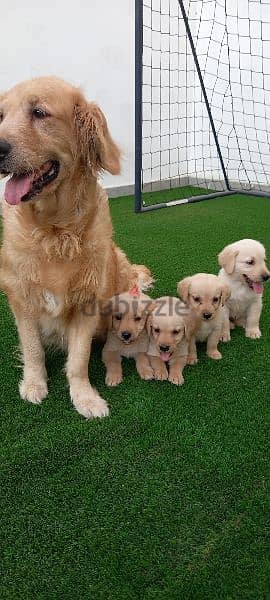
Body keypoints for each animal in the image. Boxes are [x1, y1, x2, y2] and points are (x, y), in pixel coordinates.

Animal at [0, 77, 152, 420]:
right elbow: (33, 350)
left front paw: (84, 397)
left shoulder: (87, 301)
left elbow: (79, 359)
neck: (56, 231)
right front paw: (34, 385)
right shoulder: (21, 298)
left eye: (39, 112)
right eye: (0, 115)